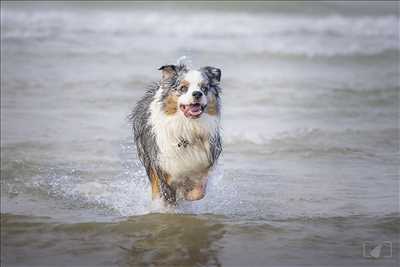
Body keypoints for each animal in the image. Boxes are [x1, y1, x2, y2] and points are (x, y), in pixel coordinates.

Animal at [131, 62, 223, 205]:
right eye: (183, 88)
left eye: (204, 88)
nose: (197, 94)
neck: (187, 128)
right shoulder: (162, 169)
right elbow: (168, 196)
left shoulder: (204, 164)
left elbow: (199, 192)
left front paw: (188, 194)